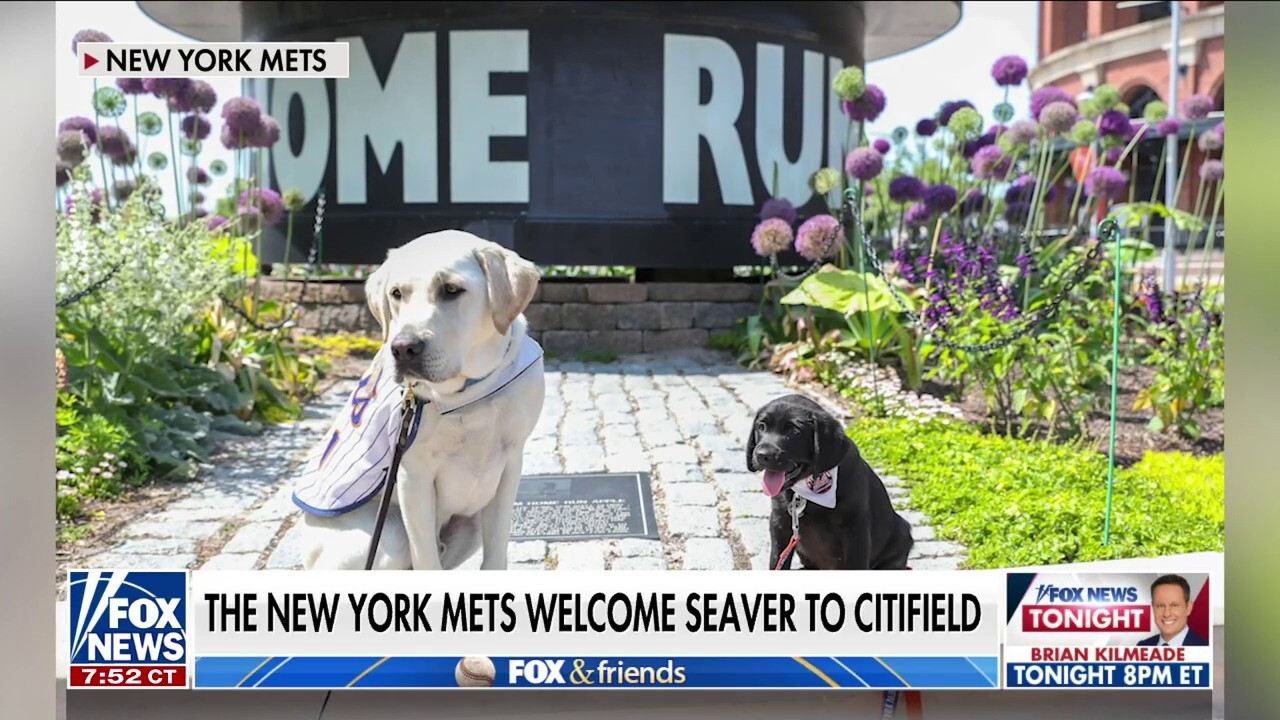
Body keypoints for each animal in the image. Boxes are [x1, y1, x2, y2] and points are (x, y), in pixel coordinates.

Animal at [294, 230, 545, 571]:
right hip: (388, 533)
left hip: (470, 525)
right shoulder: (413, 478)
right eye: (396, 293)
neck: (467, 394)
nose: (403, 348)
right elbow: (425, 558)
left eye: (451, 289)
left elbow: (495, 556)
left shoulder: (509, 466)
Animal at [747, 392, 916, 566]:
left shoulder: (856, 529)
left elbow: (856, 564)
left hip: (902, 534)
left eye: (795, 431)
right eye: (761, 427)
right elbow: (777, 560)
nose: (762, 455)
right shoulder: (780, 523)